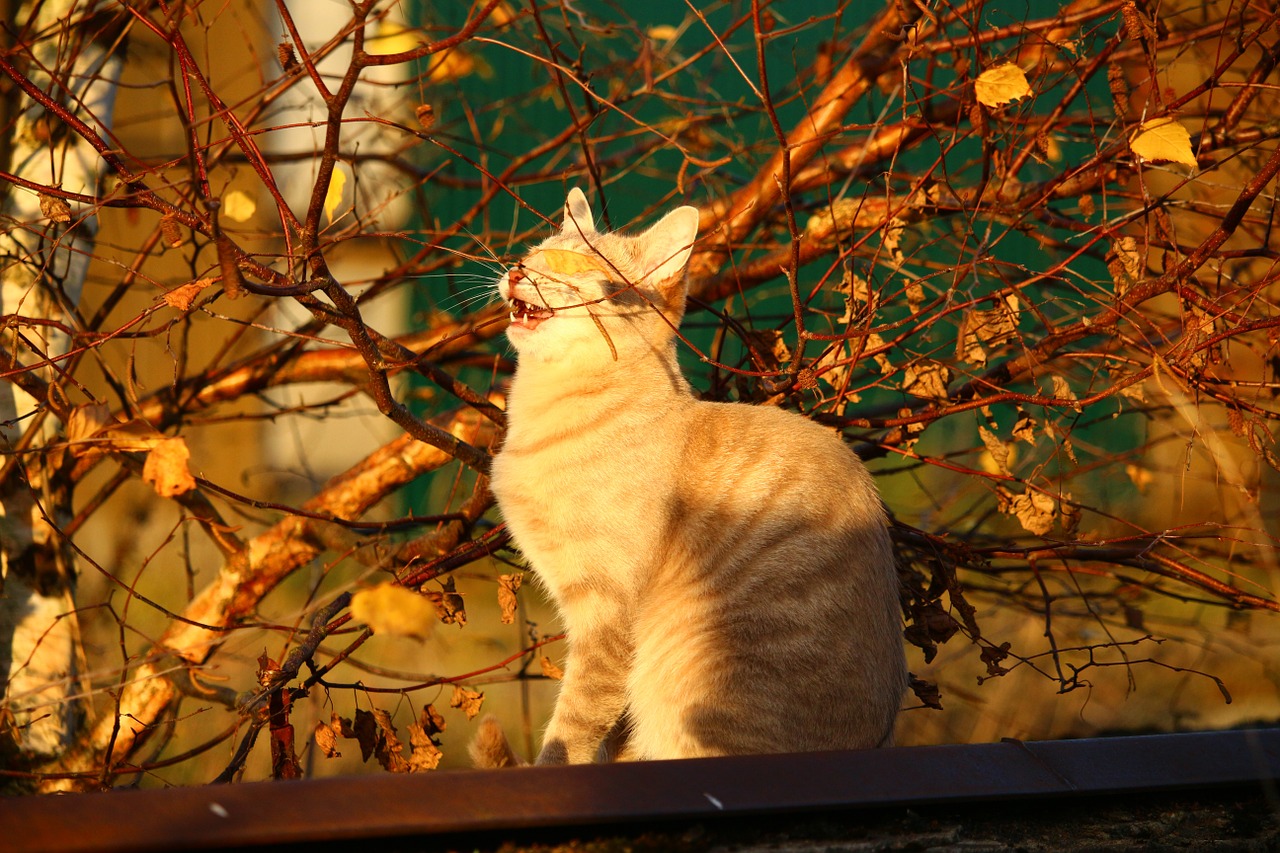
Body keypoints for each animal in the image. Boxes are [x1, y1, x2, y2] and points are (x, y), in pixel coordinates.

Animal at [476, 188, 906, 763]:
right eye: (533, 252)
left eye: (575, 263)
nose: (518, 269)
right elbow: (609, 737)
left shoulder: (605, 615)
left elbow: (572, 729)